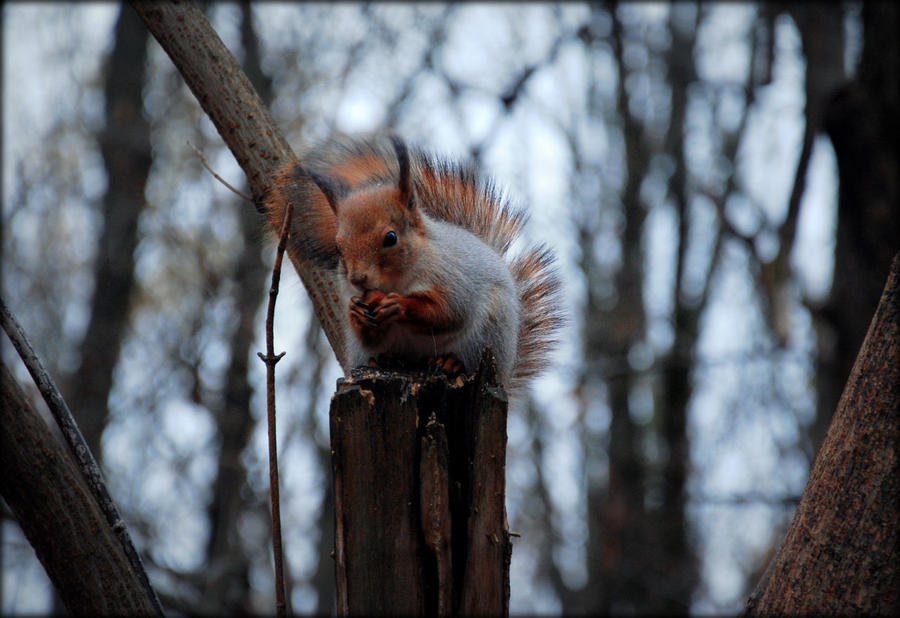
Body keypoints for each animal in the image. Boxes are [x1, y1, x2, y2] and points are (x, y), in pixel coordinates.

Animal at [262, 135, 564, 394]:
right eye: (338, 247)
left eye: (390, 238)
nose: (358, 279)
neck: (398, 280)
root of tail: (504, 374)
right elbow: (368, 332)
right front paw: (355, 312)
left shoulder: (456, 280)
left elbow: (448, 313)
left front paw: (400, 306)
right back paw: (382, 360)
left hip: (488, 334)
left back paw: (450, 363)